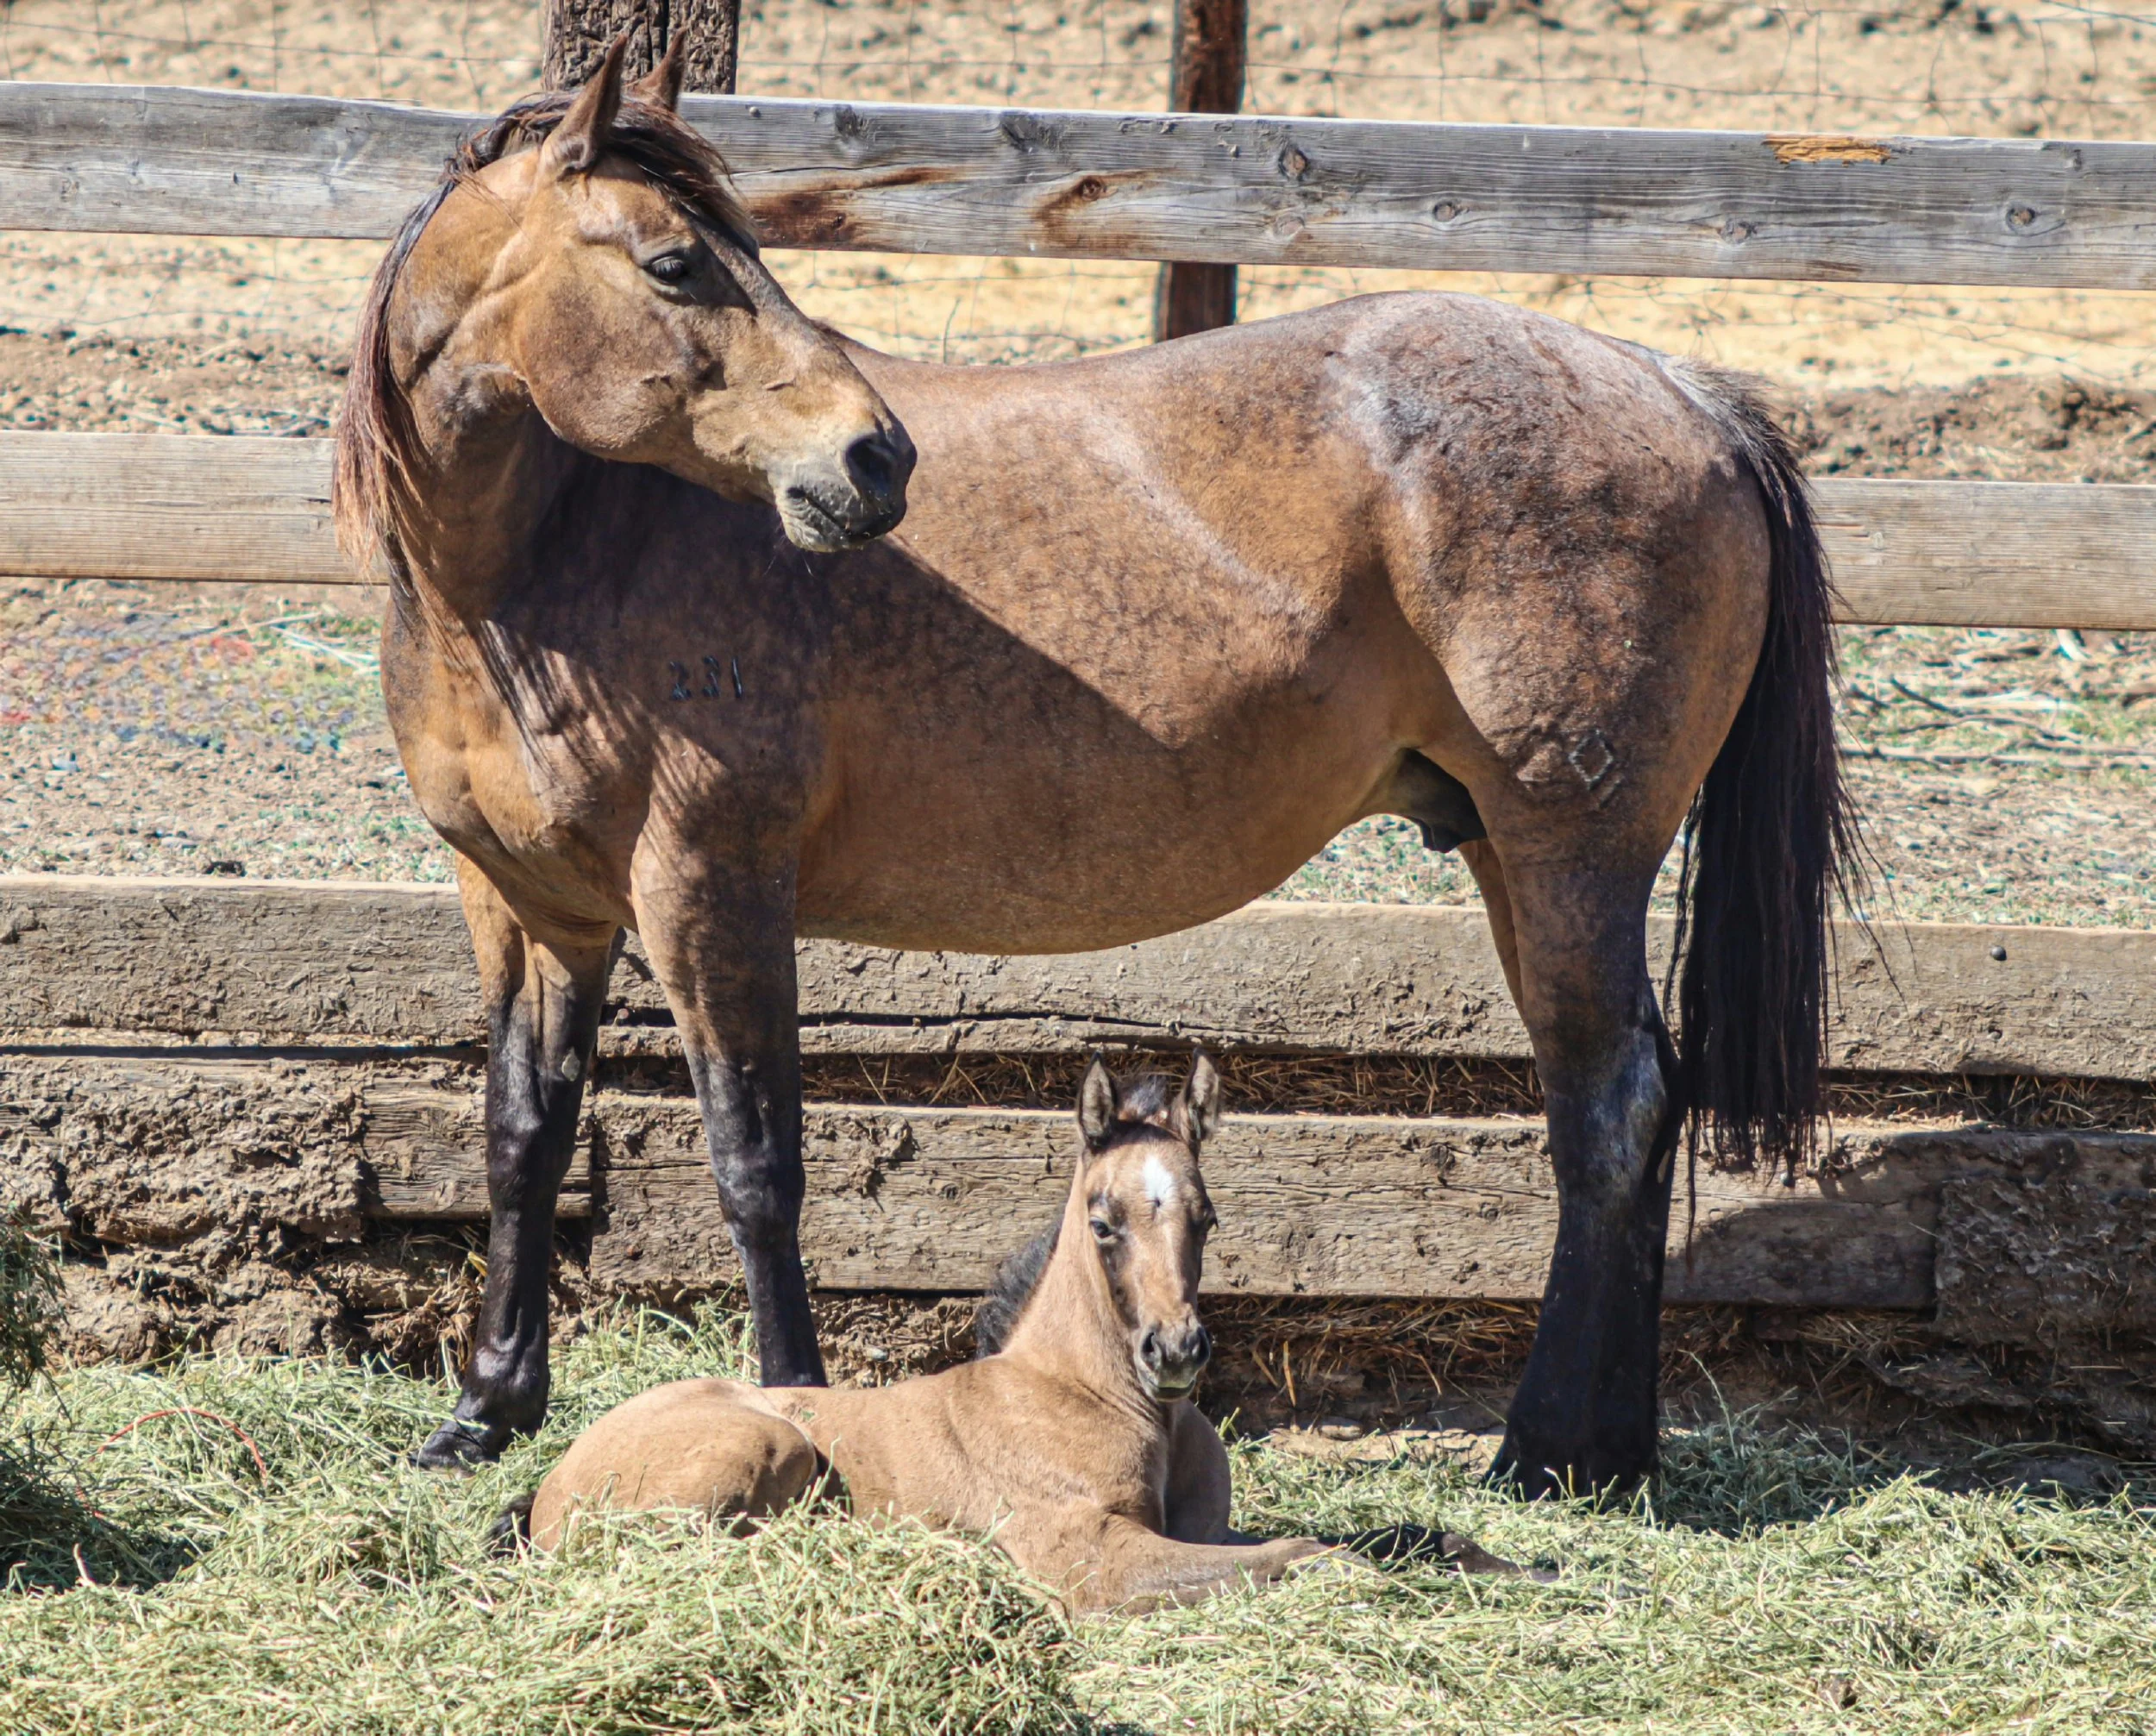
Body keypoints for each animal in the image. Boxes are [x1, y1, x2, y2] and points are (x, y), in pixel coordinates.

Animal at [334, 37, 1852, 1497]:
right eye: (673, 261)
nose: (875, 457)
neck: (545, 568)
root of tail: (1678, 389)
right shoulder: (529, 905)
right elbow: (522, 1134)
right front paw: (485, 1410)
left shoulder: (711, 892)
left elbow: (755, 1164)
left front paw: (792, 1403)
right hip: (1506, 851)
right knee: (1622, 1103)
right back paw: (1608, 1450)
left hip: (1568, 853)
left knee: (1611, 1109)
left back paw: (1545, 1450)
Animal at [520, 1054, 1365, 1610]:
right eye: (1103, 1223)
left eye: (1207, 1217)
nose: (1177, 1351)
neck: (1083, 1391)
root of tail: (547, 1495)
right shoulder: (1089, 1555)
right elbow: (1297, 1554)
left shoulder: (1204, 1529)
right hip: (770, 1442)